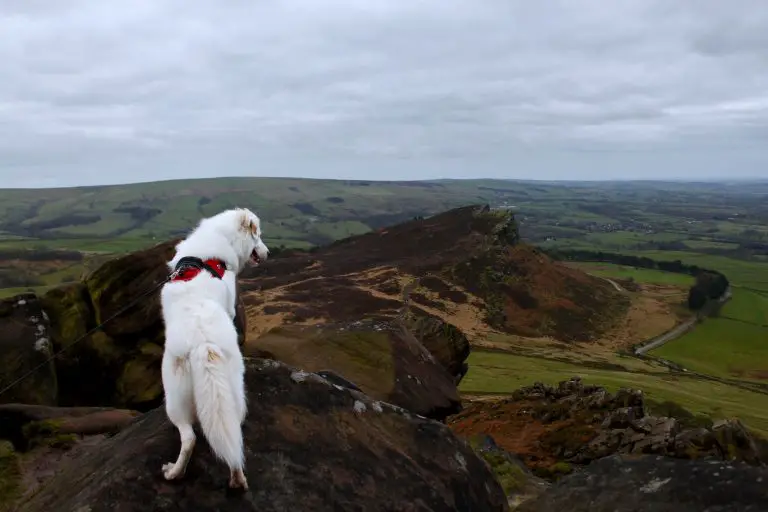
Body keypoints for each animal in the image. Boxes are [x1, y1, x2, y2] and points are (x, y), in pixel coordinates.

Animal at [158, 209, 268, 492]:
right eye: (258, 236)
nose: (268, 252)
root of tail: (202, 343)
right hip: (232, 392)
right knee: (232, 436)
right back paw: (237, 480)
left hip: (173, 401)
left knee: (189, 439)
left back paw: (174, 472)